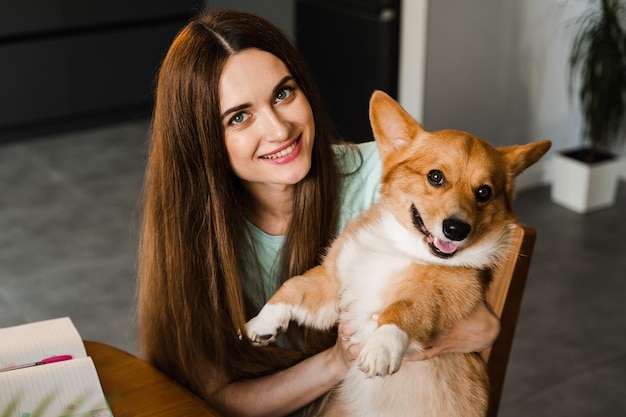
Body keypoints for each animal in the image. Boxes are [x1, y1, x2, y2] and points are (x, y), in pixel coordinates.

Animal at [246, 89, 548, 414]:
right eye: (435, 177)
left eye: (484, 192)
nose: (456, 229)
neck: (403, 247)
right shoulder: (332, 284)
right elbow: (292, 287)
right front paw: (262, 322)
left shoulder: (436, 297)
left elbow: (401, 309)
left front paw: (382, 346)